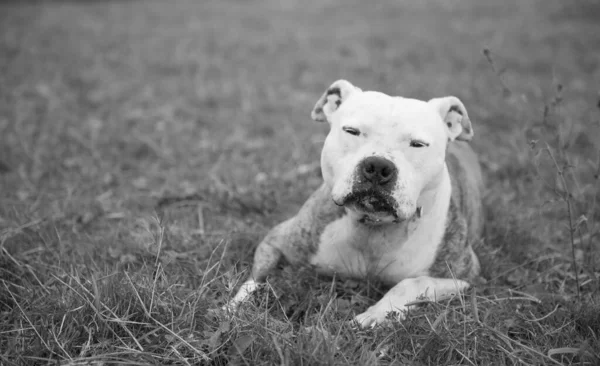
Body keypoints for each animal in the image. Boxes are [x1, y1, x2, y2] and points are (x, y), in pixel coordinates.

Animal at [224, 79, 482, 326]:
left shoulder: (463, 275)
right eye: (351, 131)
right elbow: (257, 278)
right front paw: (233, 308)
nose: (378, 166)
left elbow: (411, 284)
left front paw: (376, 315)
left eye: (418, 144)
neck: (373, 228)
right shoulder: (277, 241)